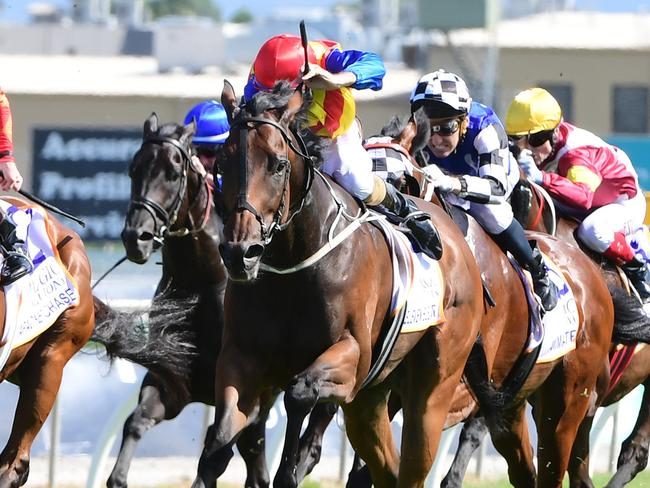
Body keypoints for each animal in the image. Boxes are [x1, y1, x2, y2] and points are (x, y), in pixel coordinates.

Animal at [190, 82, 484, 486]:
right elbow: (218, 442)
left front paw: (289, 468)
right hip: (370, 400)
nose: (239, 253)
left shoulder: (353, 358)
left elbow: (300, 392)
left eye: (278, 165)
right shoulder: (240, 357)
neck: (294, 264)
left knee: (413, 462)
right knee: (387, 467)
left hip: (433, 386)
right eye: (220, 166)